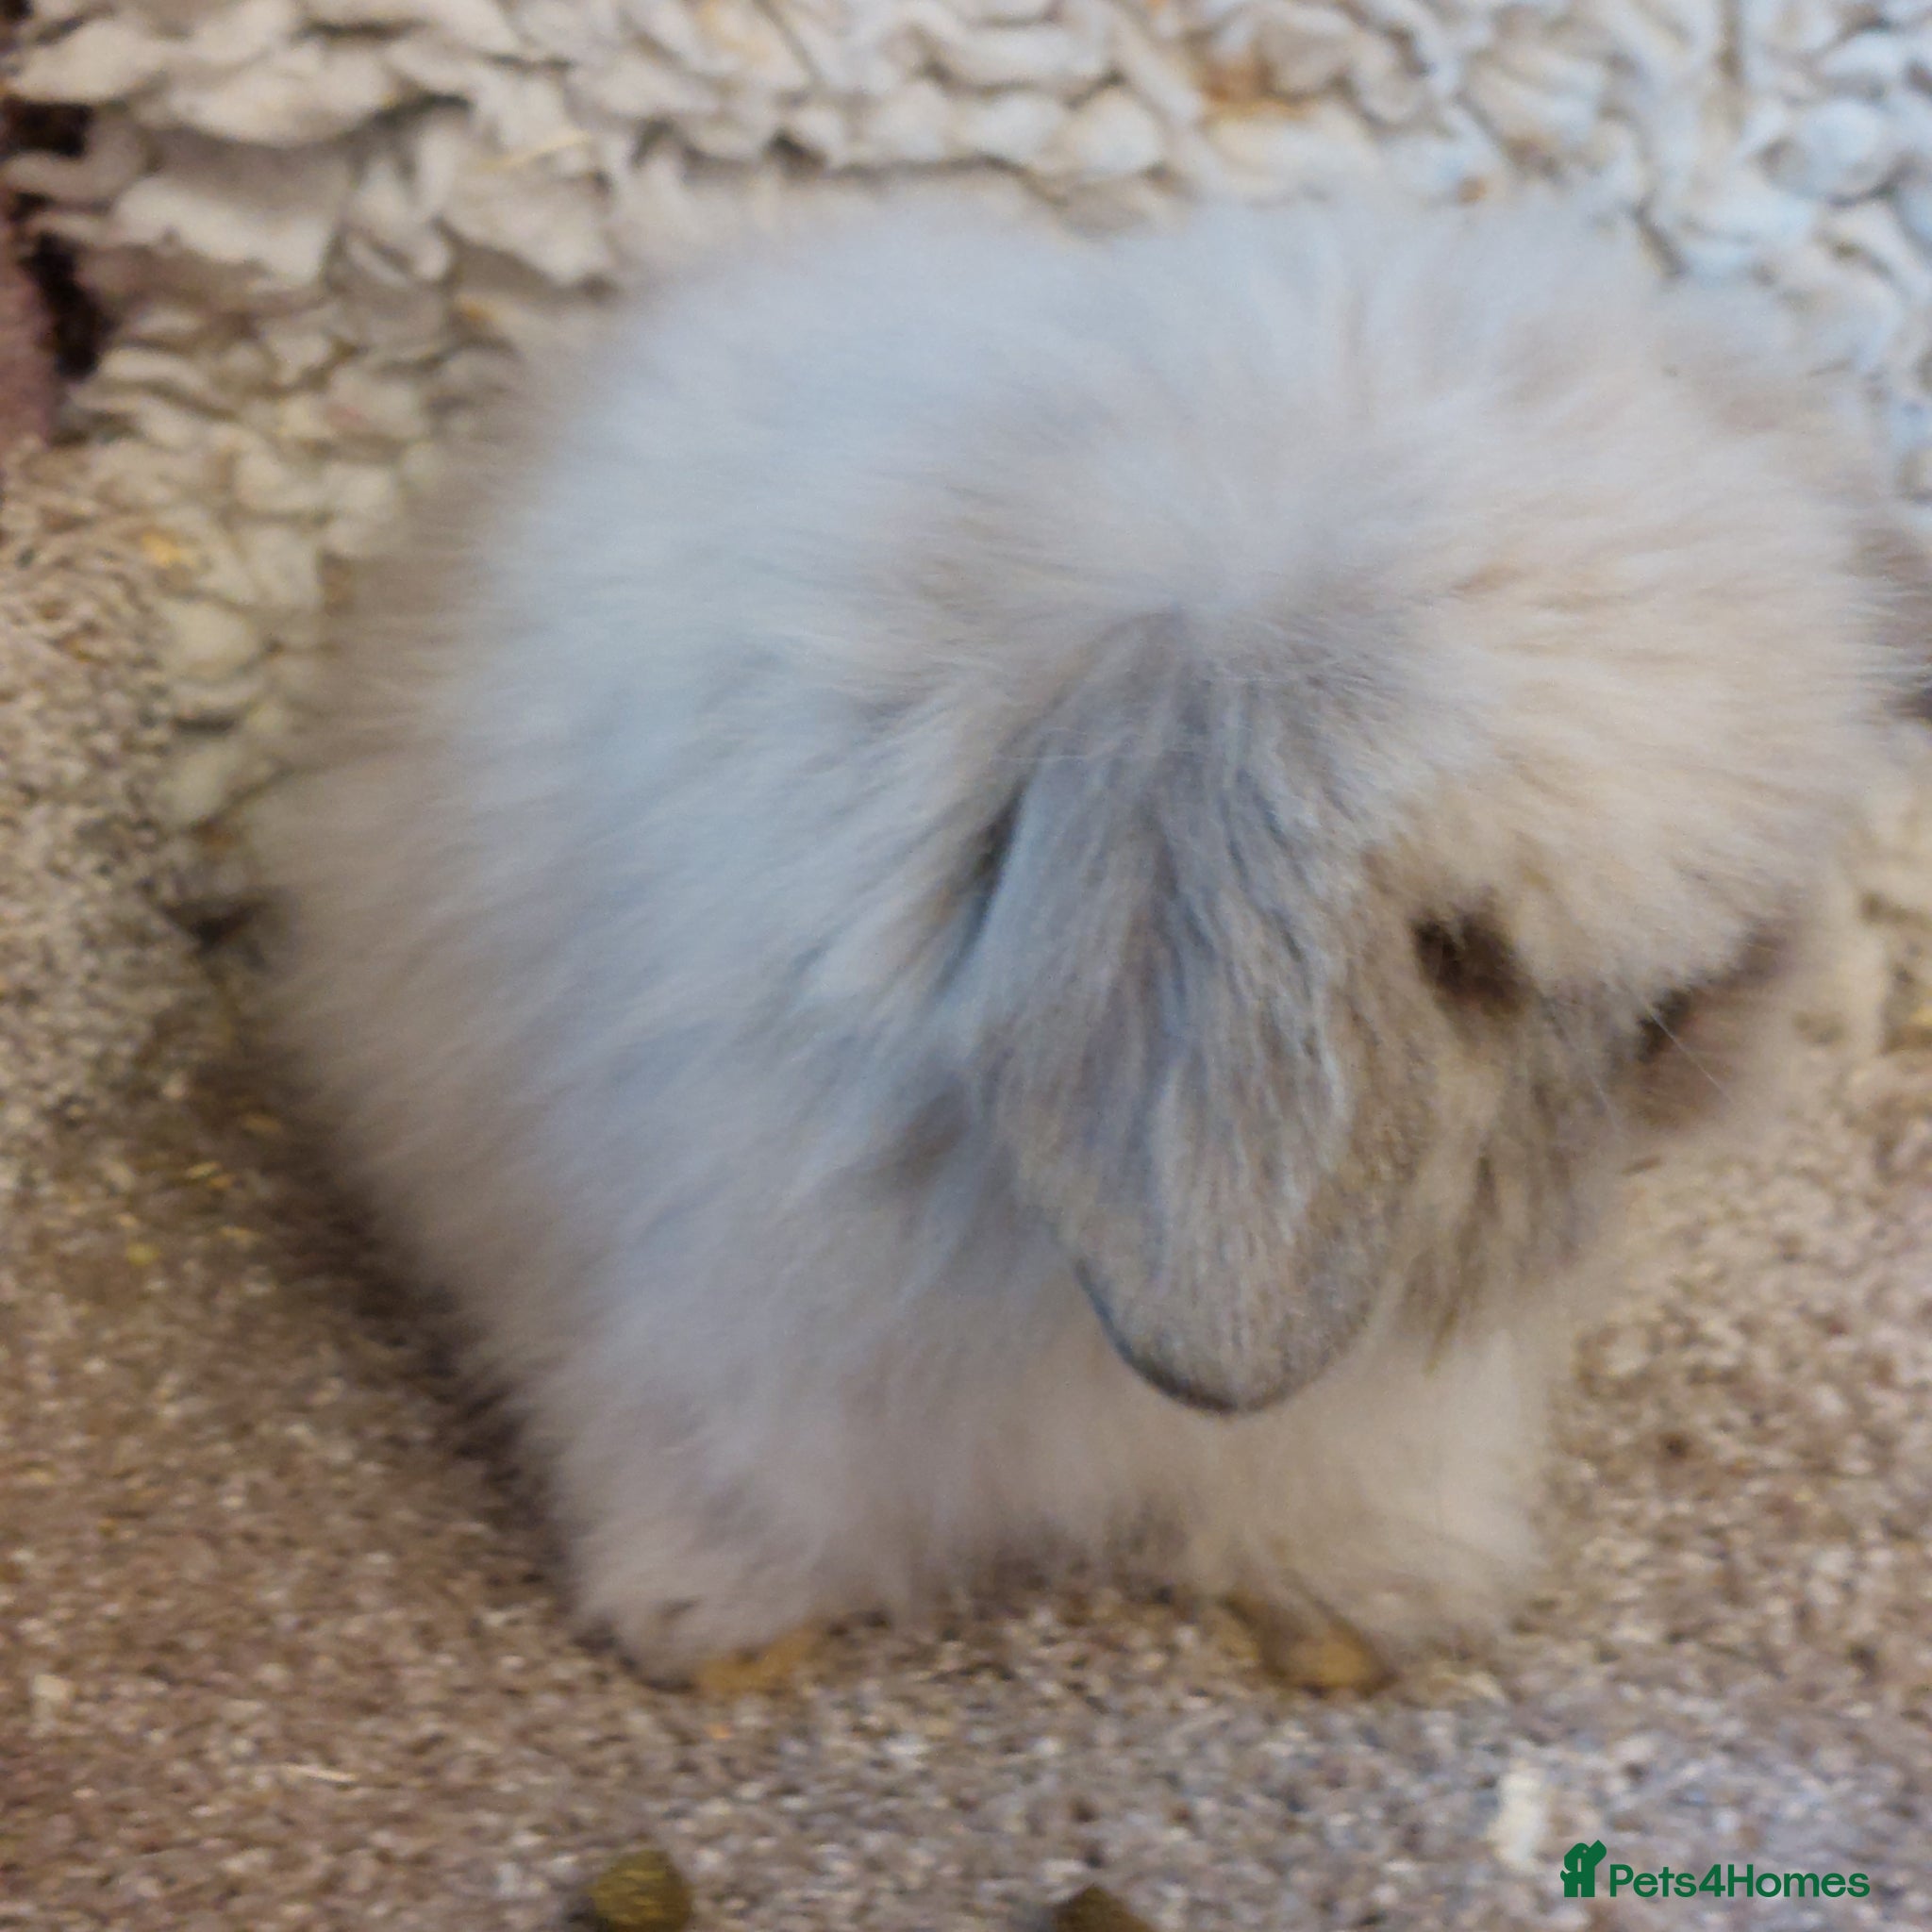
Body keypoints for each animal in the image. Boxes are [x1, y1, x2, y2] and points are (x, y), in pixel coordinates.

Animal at [263, 192, 1932, 1685]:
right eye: (1461, 950)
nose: (1699, 1065)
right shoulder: (722, 1335)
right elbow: (729, 1477)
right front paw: (713, 1630)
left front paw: (1380, 1611)